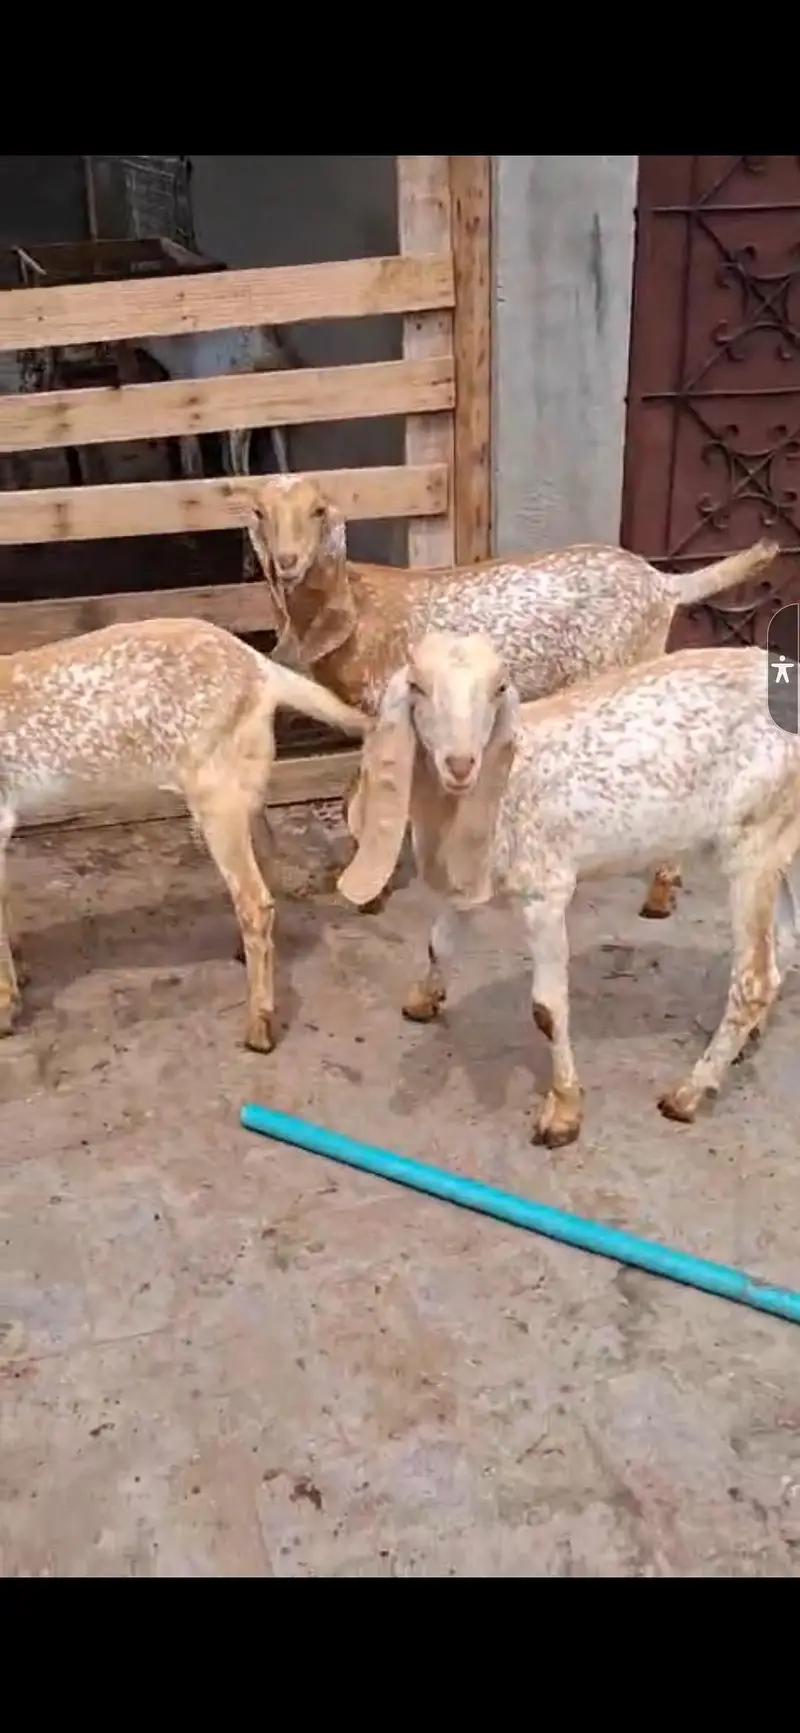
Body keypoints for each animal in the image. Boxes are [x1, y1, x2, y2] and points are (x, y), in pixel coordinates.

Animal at [0, 618, 368, 1052]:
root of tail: (258, 665)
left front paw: (6, 1009)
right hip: (245, 797)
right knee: (266, 877)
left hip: (215, 801)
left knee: (255, 902)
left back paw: (259, 1027)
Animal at [239, 471, 779, 923]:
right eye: (260, 512)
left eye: (317, 510)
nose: (287, 563)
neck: (361, 607)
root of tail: (663, 584)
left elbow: (364, 798)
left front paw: (370, 891)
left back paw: (658, 892)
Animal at [337, 630, 800, 1147]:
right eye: (417, 686)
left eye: (499, 688)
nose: (460, 764)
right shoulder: (474, 876)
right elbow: (439, 943)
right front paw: (423, 1000)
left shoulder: (546, 890)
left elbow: (546, 1009)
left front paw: (562, 1111)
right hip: (782, 839)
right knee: (786, 940)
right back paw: (749, 1038)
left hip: (753, 840)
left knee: (754, 978)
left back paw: (688, 1094)